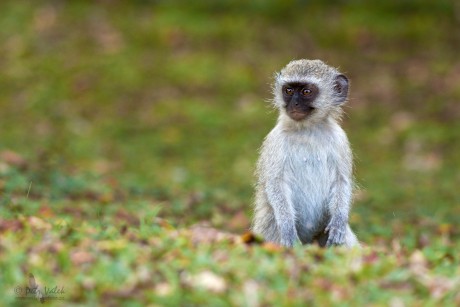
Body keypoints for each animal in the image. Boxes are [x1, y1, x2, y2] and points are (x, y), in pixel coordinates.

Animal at [252, 59, 360, 249]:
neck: (307, 130)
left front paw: (339, 222)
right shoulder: (276, 140)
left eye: (306, 92)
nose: (293, 104)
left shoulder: (340, 139)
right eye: (288, 91)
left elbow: (342, 180)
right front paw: (287, 228)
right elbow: (275, 183)